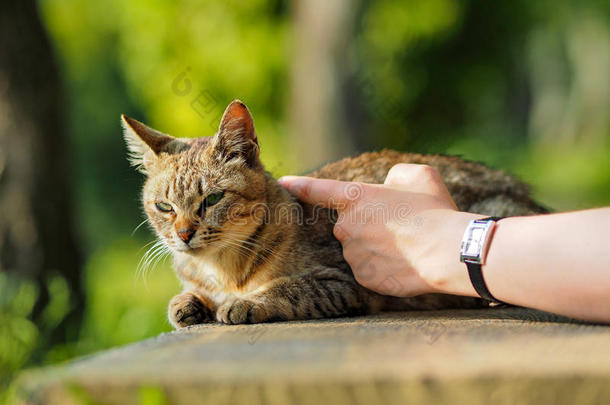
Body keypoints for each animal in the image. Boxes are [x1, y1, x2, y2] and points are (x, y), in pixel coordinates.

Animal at [121, 99, 544, 326]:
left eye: (212, 199)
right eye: (164, 206)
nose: (184, 233)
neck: (223, 268)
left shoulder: (342, 281)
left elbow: (289, 287)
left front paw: (245, 302)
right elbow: (191, 295)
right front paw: (188, 302)